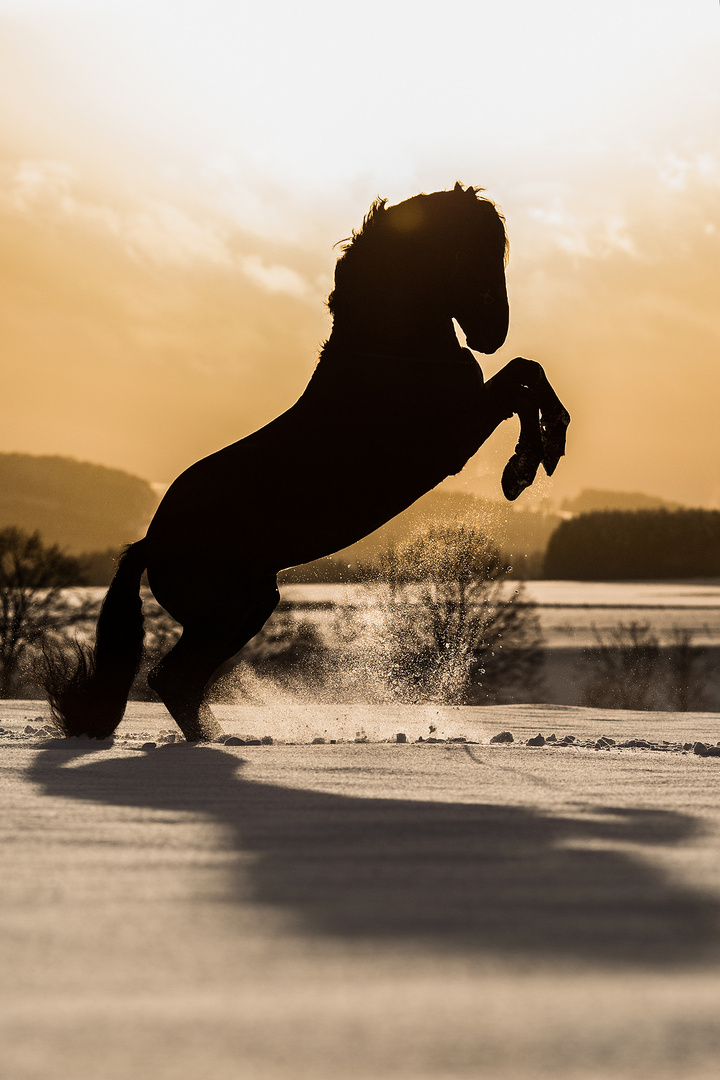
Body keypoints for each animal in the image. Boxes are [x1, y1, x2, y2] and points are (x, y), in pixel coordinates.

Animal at [46, 183, 574, 743]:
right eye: (475, 250)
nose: (492, 334)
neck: (392, 348)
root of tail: (151, 542)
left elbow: (528, 374)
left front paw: (536, 456)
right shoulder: (453, 437)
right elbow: (521, 381)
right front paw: (525, 467)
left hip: (251, 604)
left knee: (180, 680)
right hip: (227, 609)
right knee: (171, 678)